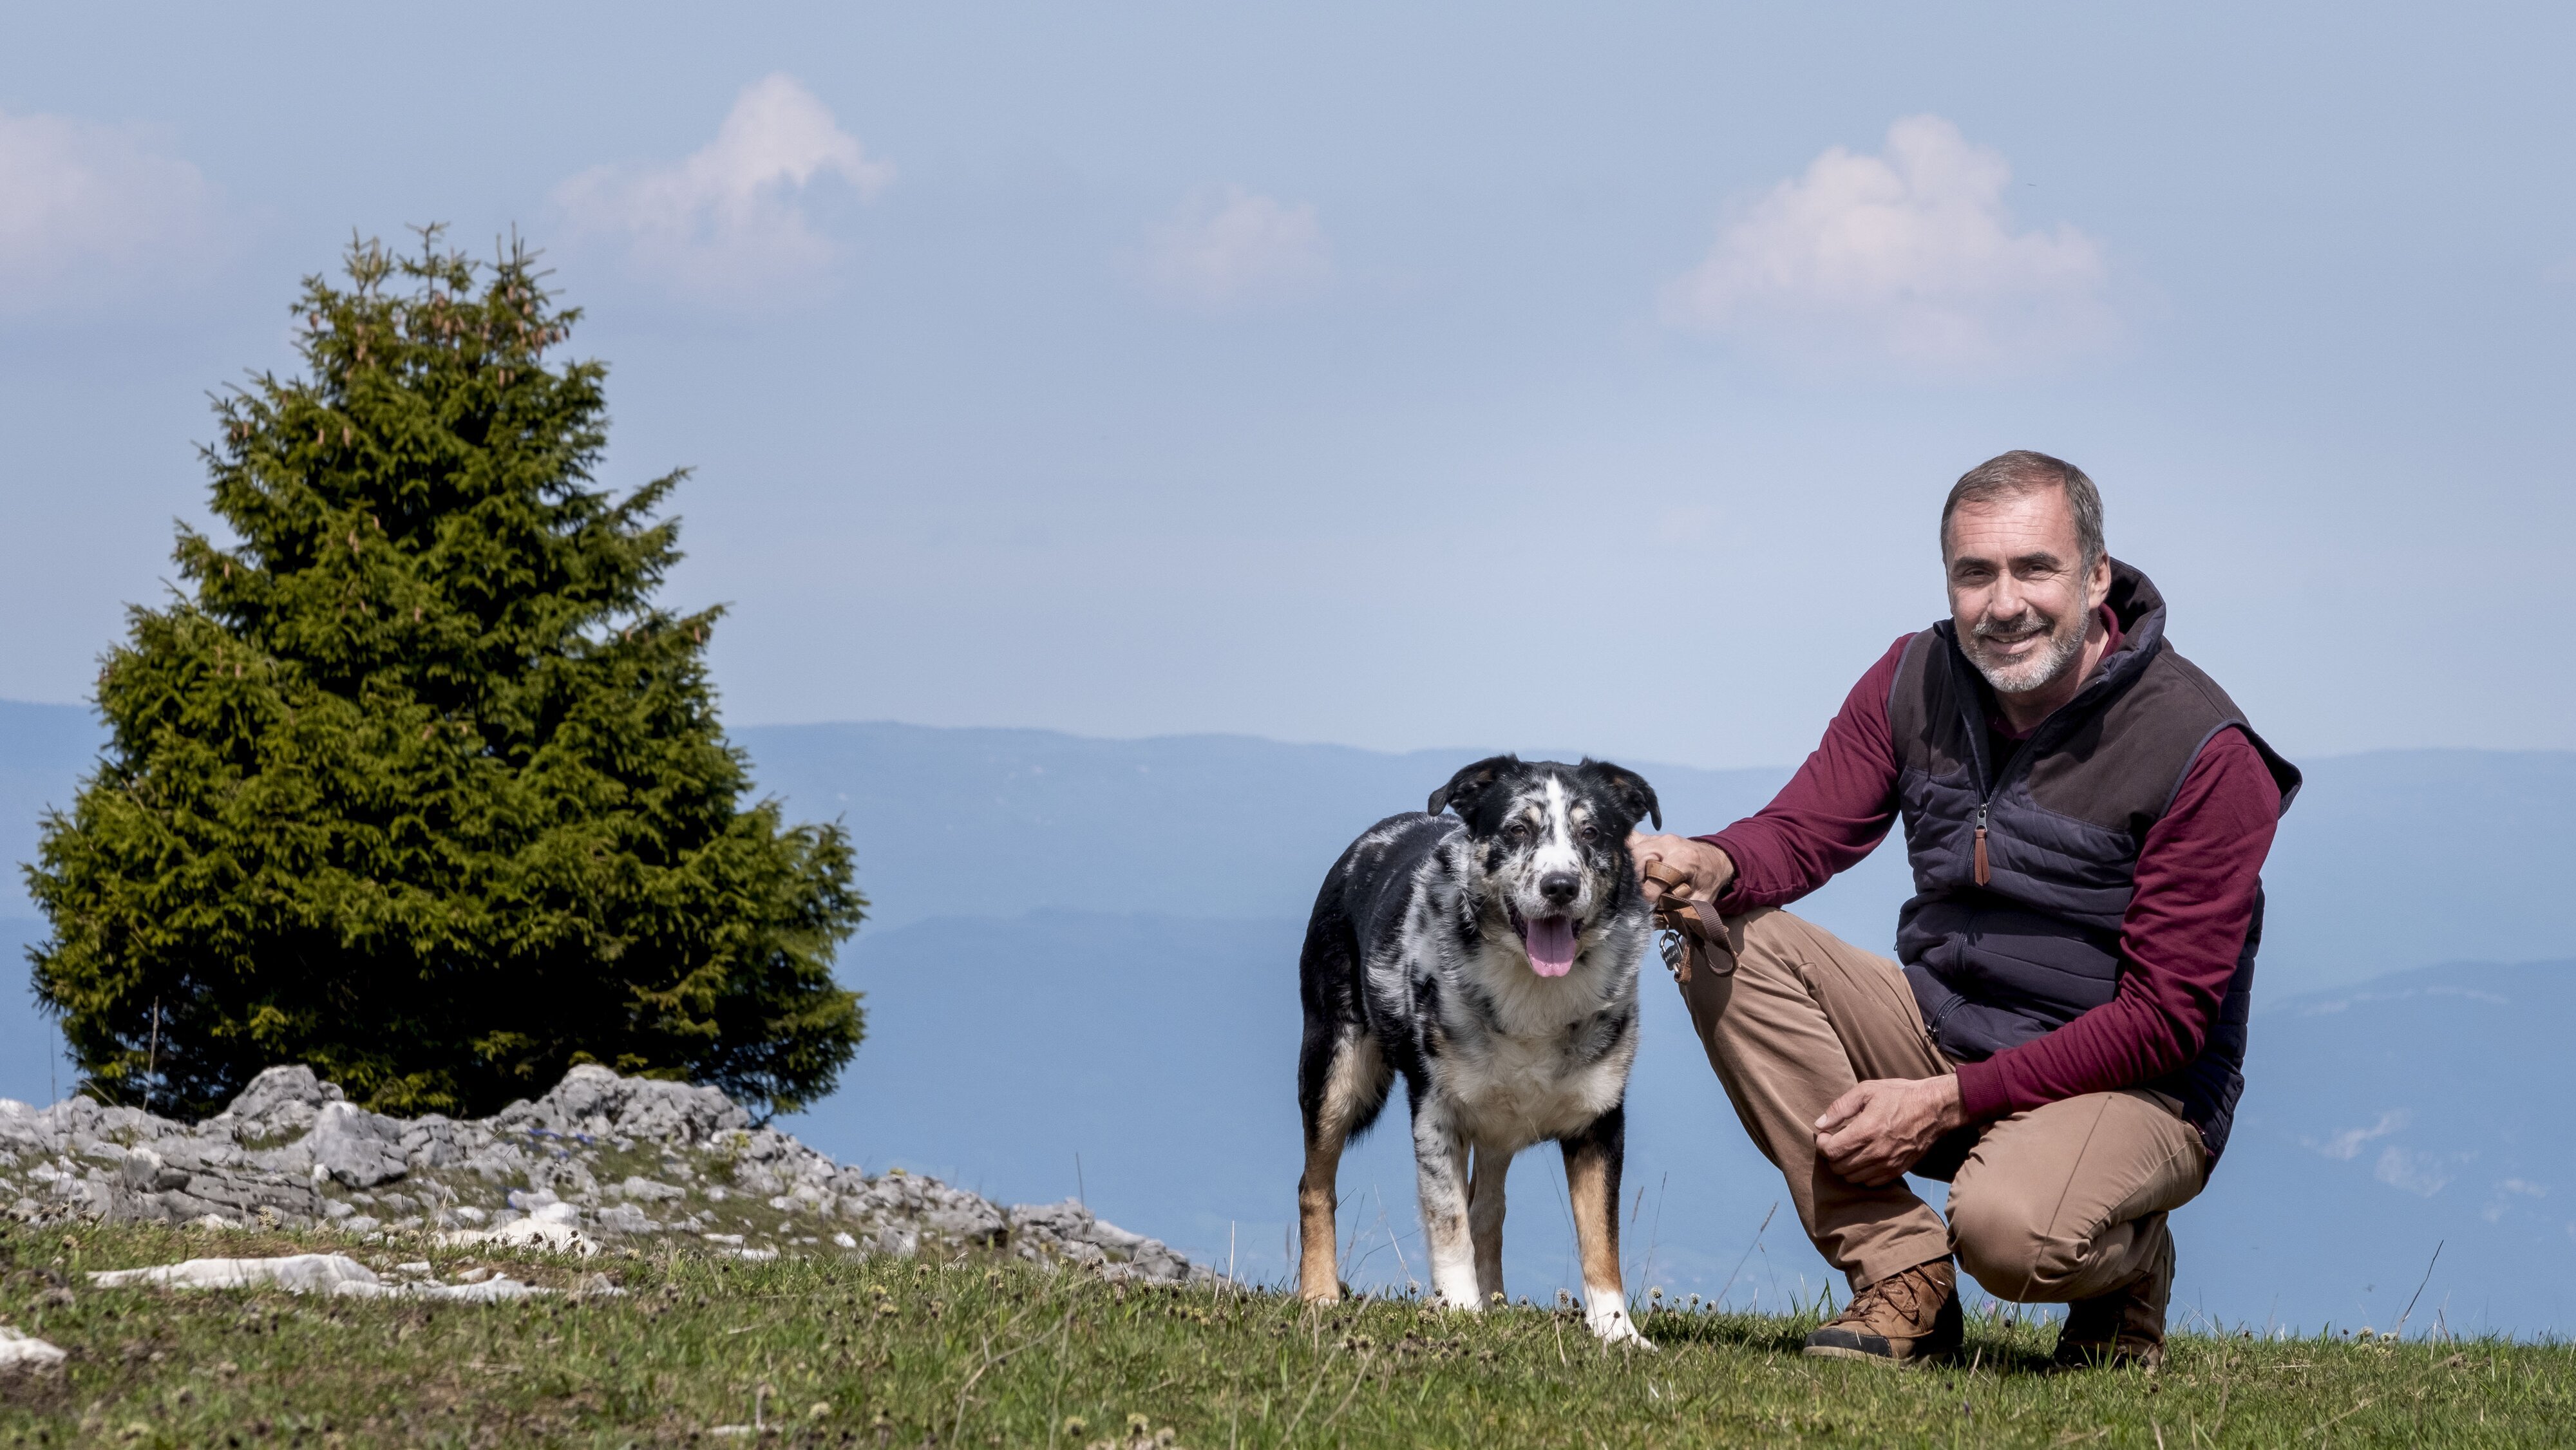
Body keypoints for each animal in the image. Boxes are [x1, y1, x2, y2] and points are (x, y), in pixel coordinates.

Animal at [1288, 762, 1669, 1350]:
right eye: (1517, 829)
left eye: (1591, 832)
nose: (1561, 886)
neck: (1534, 992)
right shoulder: (1436, 1112)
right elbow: (1448, 1221)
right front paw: (1461, 1310)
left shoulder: (1600, 1120)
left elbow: (1600, 1240)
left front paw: (1617, 1331)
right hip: (1334, 1065)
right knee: (1315, 1185)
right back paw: (1320, 1294)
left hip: (1495, 1124)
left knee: (1488, 1206)